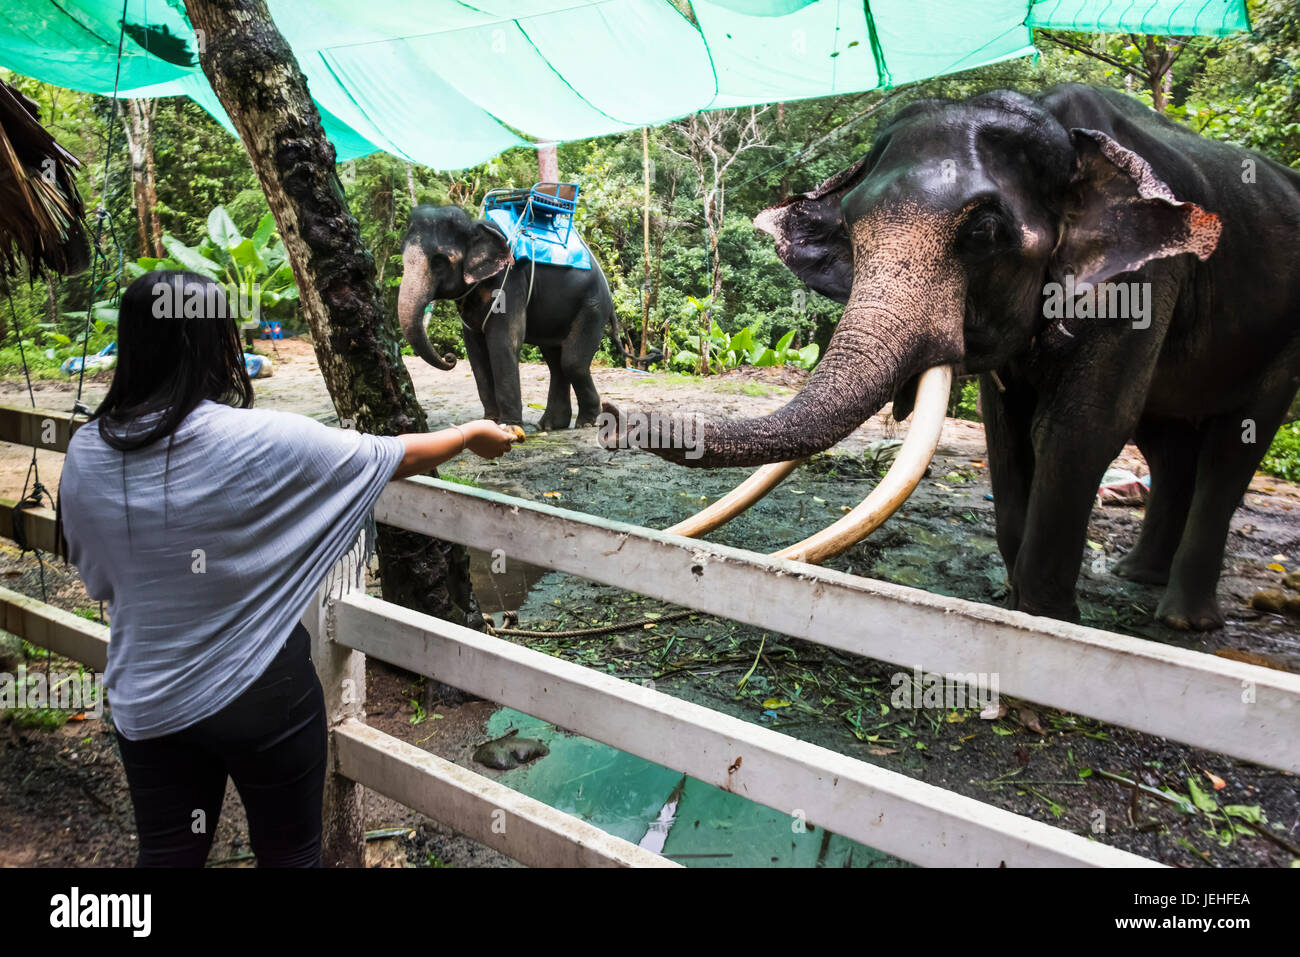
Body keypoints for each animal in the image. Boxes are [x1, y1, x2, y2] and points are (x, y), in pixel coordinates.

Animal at [395, 204, 618, 429]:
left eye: (439, 262)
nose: (449, 358)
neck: (475, 226)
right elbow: (475, 351)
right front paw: (489, 422)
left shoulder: (510, 280)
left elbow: (504, 342)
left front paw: (508, 425)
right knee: (555, 362)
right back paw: (549, 425)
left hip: (592, 304)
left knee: (572, 363)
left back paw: (586, 422)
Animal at [613, 85, 1300, 631]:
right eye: (851, 227)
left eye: (983, 233)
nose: (620, 420)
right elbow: (1006, 431)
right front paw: (1010, 602)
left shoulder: (1147, 280)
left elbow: (1077, 428)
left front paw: (1046, 620)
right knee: (1168, 441)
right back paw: (1137, 578)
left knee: (1234, 444)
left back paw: (1184, 620)